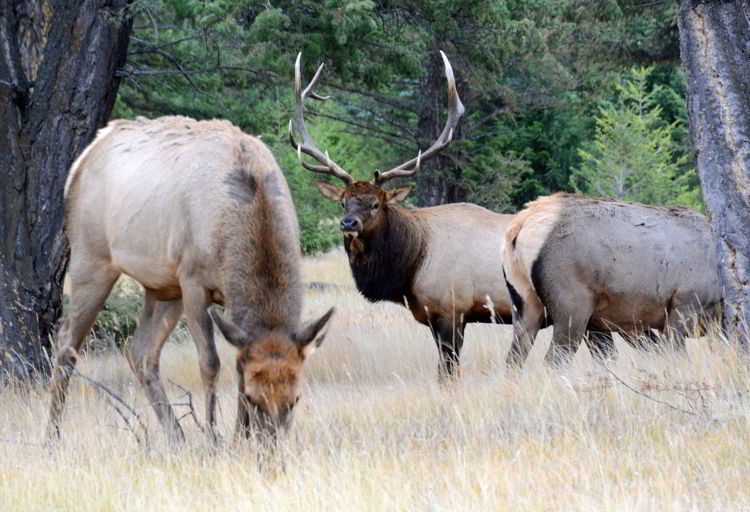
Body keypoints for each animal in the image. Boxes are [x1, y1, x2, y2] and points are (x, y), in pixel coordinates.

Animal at [48, 117, 336, 444]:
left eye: (296, 398)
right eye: (253, 398)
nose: (269, 444)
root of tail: (82, 159)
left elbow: (238, 364)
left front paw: (238, 437)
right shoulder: (194, 281)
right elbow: (210, 362)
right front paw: (213, 437)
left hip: (162, 286)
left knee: (140, 351)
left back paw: (176, 436)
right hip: (91, 257)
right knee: (66, 343)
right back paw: (51, 437)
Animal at [502, 193, 724, 368]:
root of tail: (520, 226)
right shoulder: (685, 305)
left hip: (524, 303)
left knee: (514, 358)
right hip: (572, 307)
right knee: (554, 360)